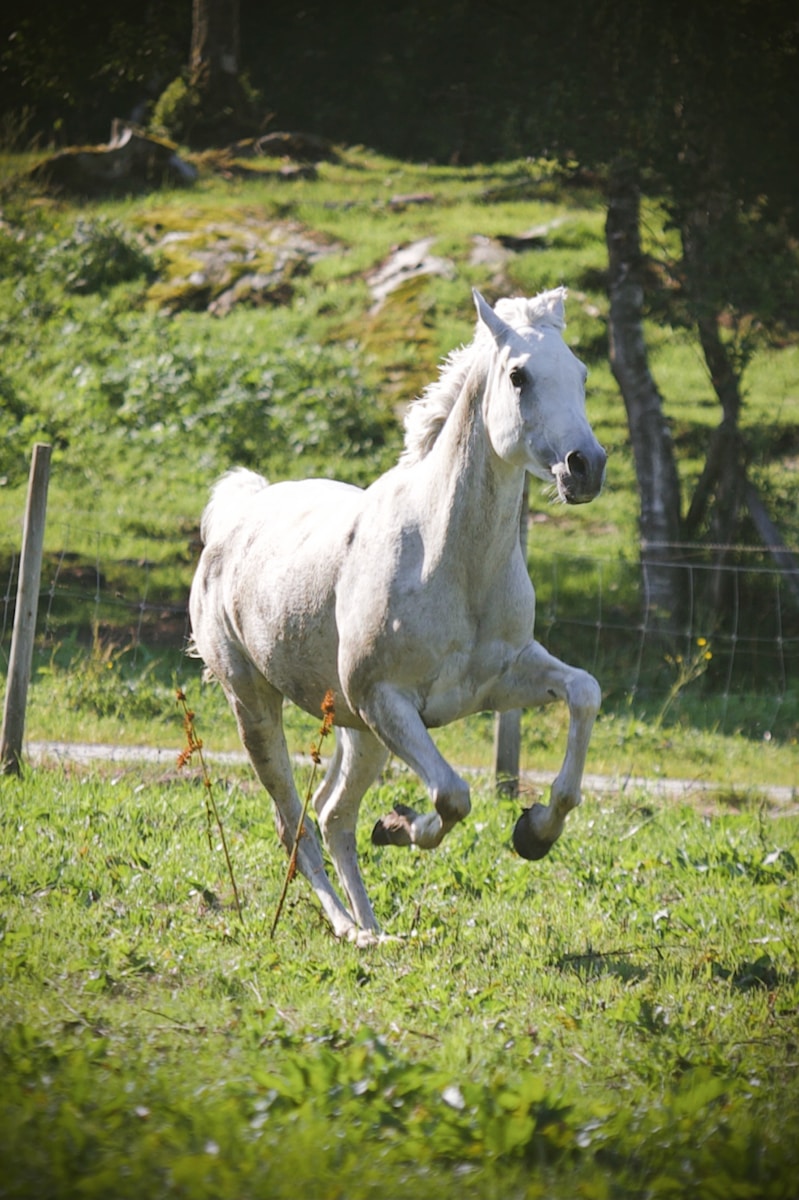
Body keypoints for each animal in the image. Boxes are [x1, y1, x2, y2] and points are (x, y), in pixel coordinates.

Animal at [189, 288, 606, 945]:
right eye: (519, 376)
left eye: (582, 374)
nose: (584, 465)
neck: (450, 559)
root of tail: (236, 514)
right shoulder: (387, 700)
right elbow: (453, 796)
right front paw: (401, 825)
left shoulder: (502, 680)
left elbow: (584, 693)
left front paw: (534, 831)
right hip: (256, 705)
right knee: (294, 823)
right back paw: (348, 927)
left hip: (358, 732)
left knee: (333, 815)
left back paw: (375, 930)